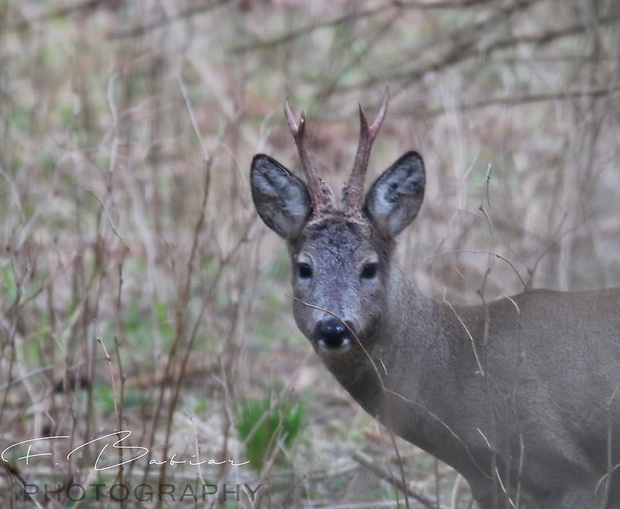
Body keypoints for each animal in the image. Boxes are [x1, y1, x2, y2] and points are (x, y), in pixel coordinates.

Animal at [251, 89, 620, 506]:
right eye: (304, 267)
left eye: (369, 267)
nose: (333, 328)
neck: (462, 365)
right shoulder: (491, 484)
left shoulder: (573, 471)